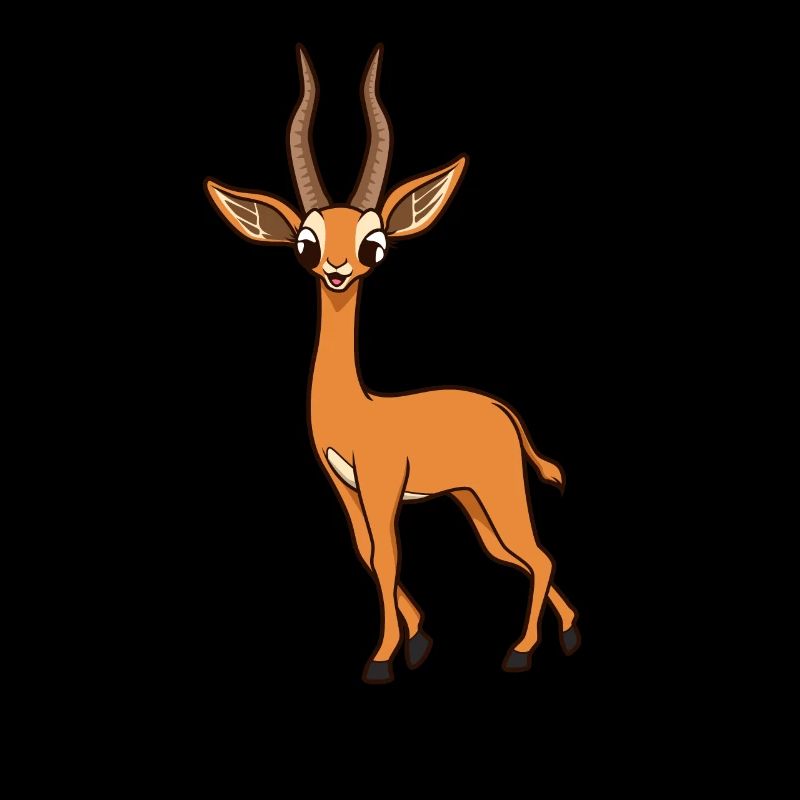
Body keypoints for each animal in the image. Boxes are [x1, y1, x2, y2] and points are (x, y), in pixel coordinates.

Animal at [205, 45, 580, 684]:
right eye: (305, 244)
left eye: (373, 245)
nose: (336, 271)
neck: (358, 410)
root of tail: (504, 409)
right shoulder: (344, 485)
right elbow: (365, 551)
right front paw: (418, 640)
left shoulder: (383, 484)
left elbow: (386, 554)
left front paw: (383, 658)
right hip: (473, 501)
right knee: (523, 556)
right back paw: (568, 634)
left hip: (497, 490)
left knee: (537, 554)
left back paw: (522, 651)